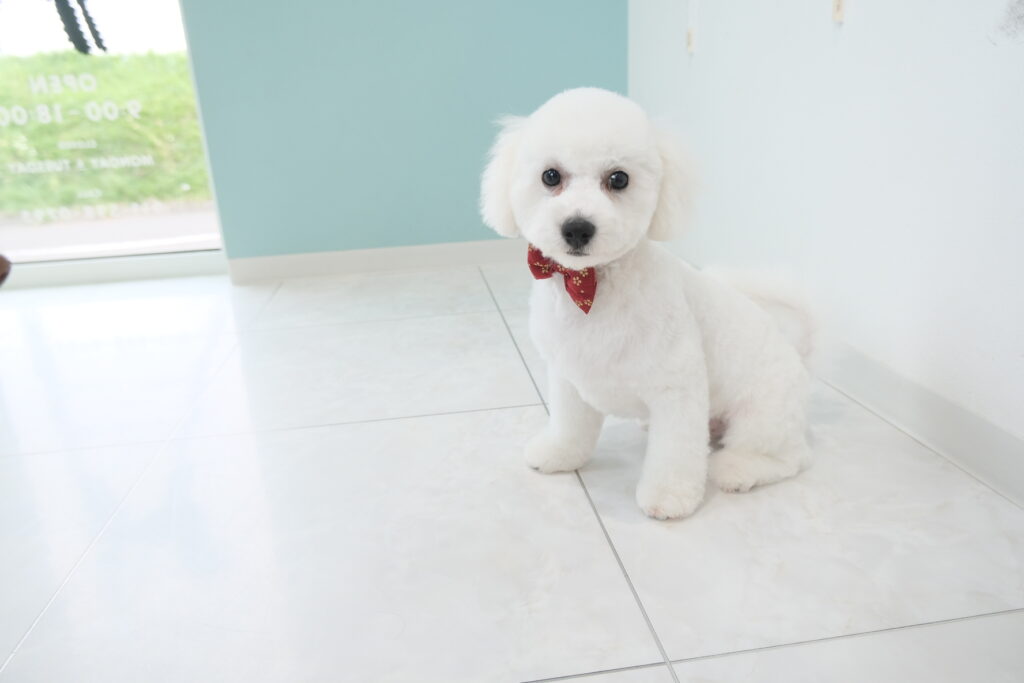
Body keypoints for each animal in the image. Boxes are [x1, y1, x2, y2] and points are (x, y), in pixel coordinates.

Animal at [479, 88, 814, 519]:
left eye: (618, 179)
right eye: (550, 176)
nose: (577, 228)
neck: (594, 287)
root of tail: (799, 354)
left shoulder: (677, 389)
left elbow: (674, 454)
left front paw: (669, 497)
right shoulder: (568, 377)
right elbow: (570, 426)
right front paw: (559, 454)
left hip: (763, 415)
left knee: (789, 456)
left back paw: (738, 469)